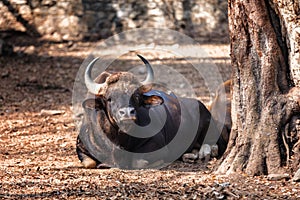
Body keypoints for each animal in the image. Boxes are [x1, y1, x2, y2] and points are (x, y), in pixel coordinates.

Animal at [76, 55, 226, 169]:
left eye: (136, 96)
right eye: (109, 98)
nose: (127, 113)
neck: (119, 141)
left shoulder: (158, 145)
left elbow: (139, 161)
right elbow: (89, 163)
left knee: (213, 143)